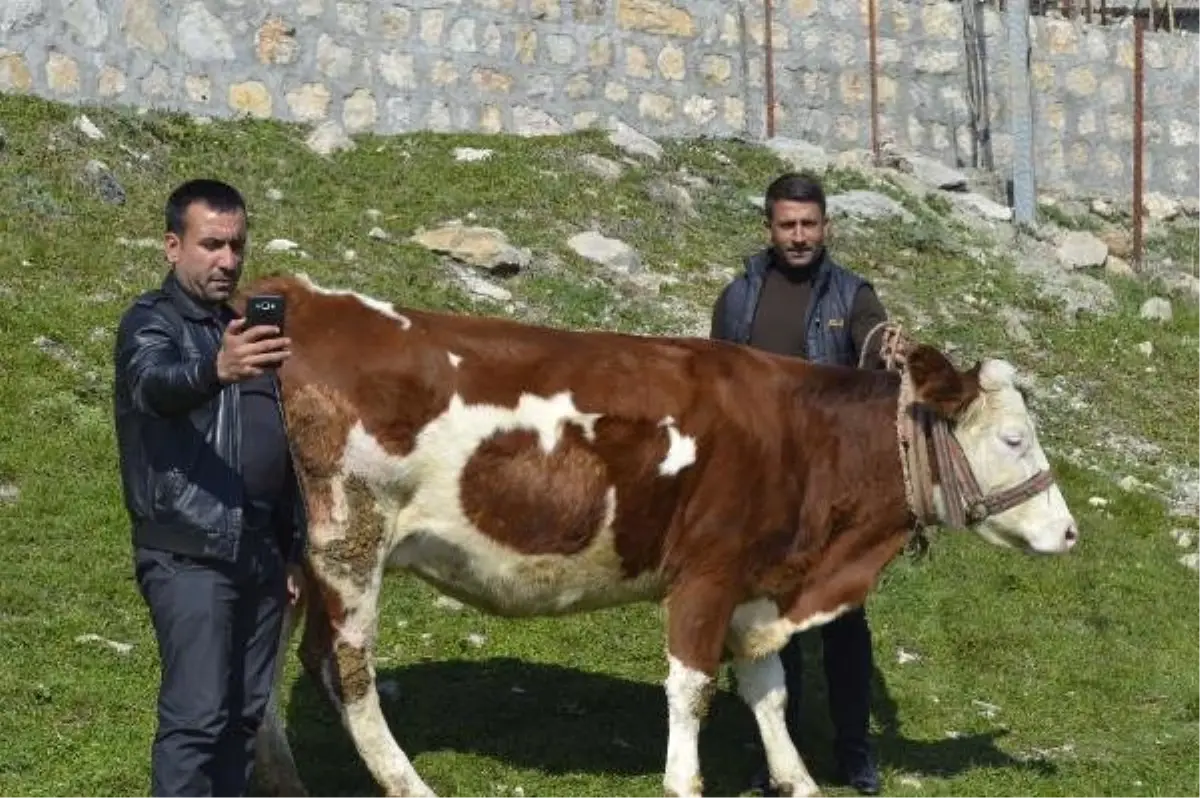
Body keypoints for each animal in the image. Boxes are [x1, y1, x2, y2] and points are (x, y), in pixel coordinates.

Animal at [238, 273, 1084, 796]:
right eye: (1014, 439)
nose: (1071, 533)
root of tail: (298, 297)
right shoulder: (709, 571)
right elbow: (692, 686)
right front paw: (683, 779)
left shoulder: (757, 579)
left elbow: (769, 690)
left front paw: (797, 778)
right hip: (348, 539)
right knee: (341, 666)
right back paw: (407, 781)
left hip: (293, 556)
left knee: (268, 654)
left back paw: (282, 779)